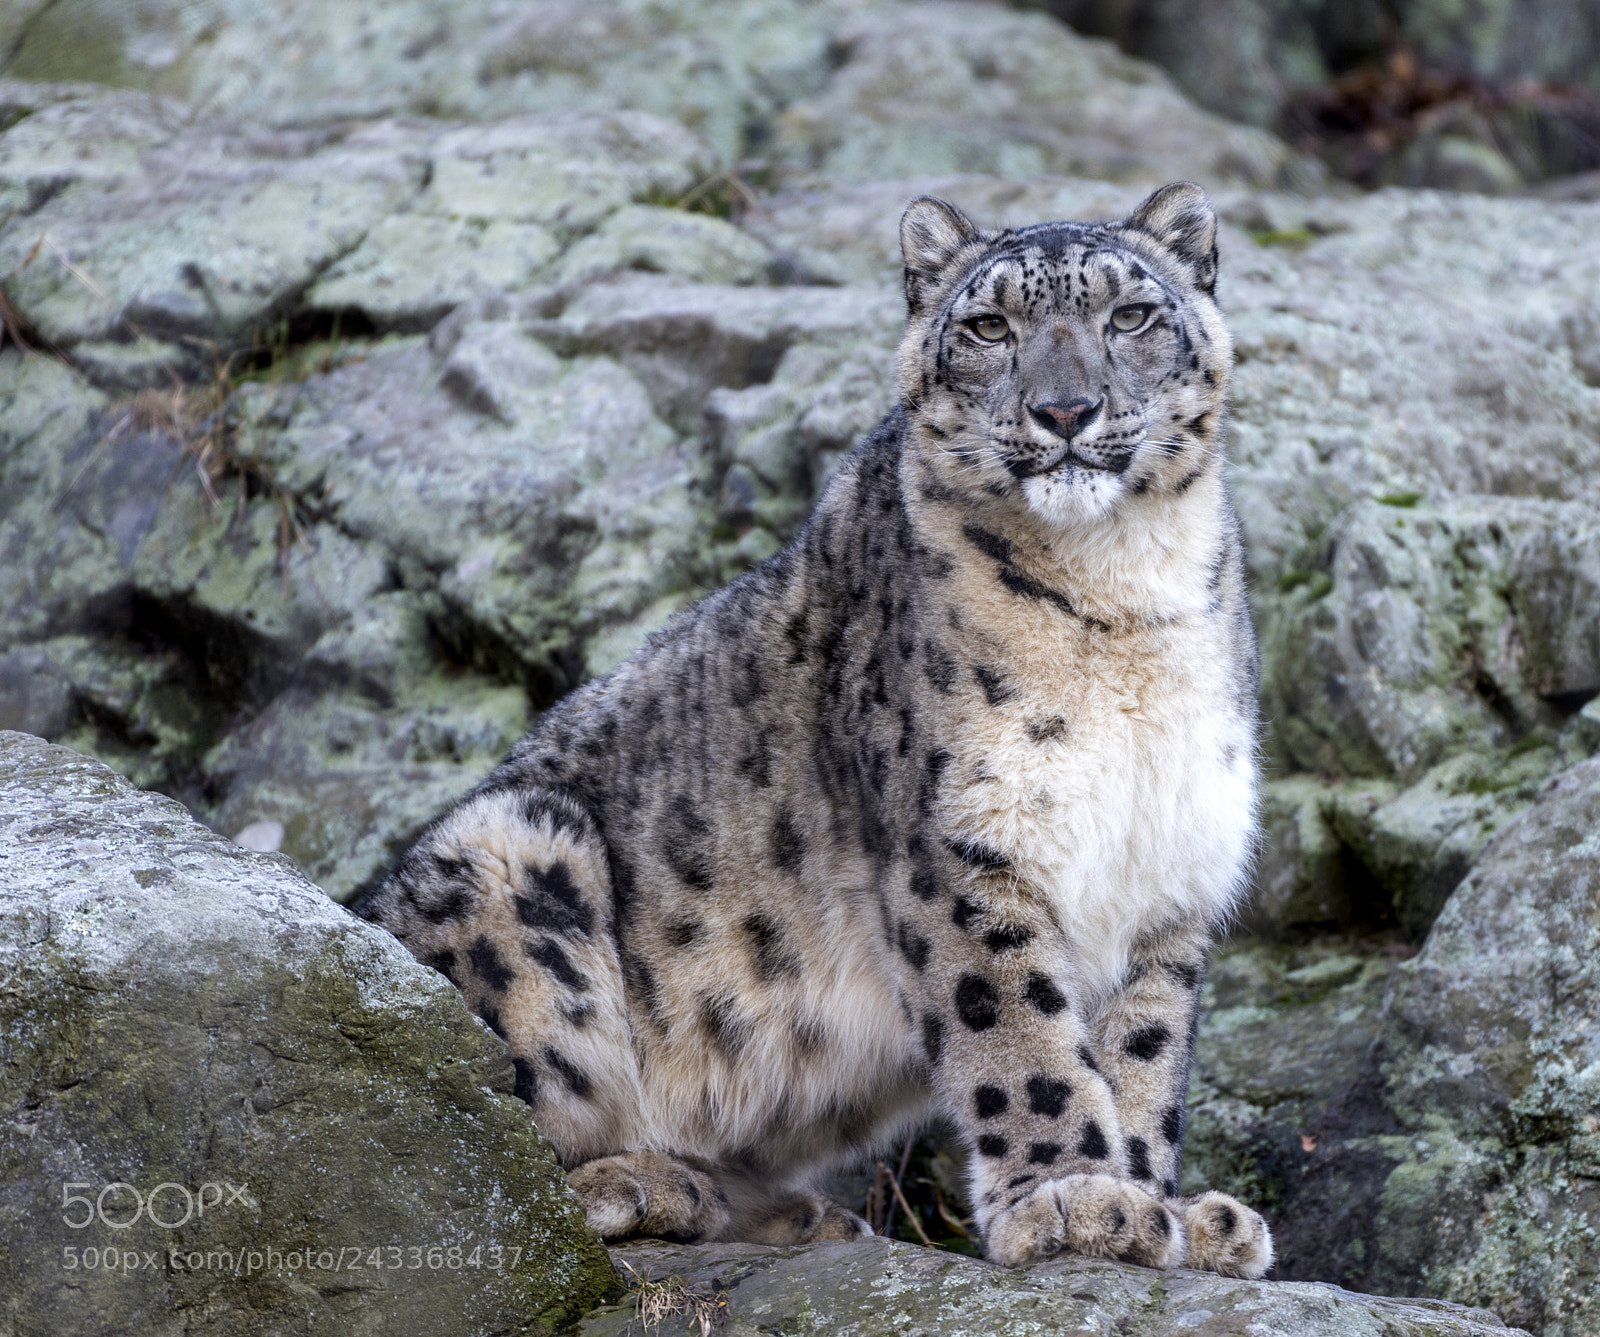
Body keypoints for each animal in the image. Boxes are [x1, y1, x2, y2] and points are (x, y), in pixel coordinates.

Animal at [355, 182, 1273, 1276]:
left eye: (1130, 316)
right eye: (989, 326)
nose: (1063, 410)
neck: (1126, 594)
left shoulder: (1168, 871)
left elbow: (1141, 1056)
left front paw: (1171, 1212)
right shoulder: (964, 847)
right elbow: (1021, 1032)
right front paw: (1078, 1198)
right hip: (512, 853)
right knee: (465, 1145)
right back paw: (647, 1182)